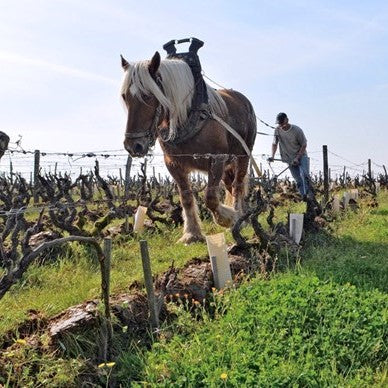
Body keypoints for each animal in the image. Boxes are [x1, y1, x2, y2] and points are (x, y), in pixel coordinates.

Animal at [119, 51, 256, 242]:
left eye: (147, 95)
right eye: (125, 96)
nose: (134, 146)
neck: (190, 117)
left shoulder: (216, 159)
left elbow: (210, 197)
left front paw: (227, 218)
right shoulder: (173, 164)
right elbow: (186, 197)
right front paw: (191, 233)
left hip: (243, 155)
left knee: (237, 185)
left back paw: (238, 216)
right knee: (231, 184)